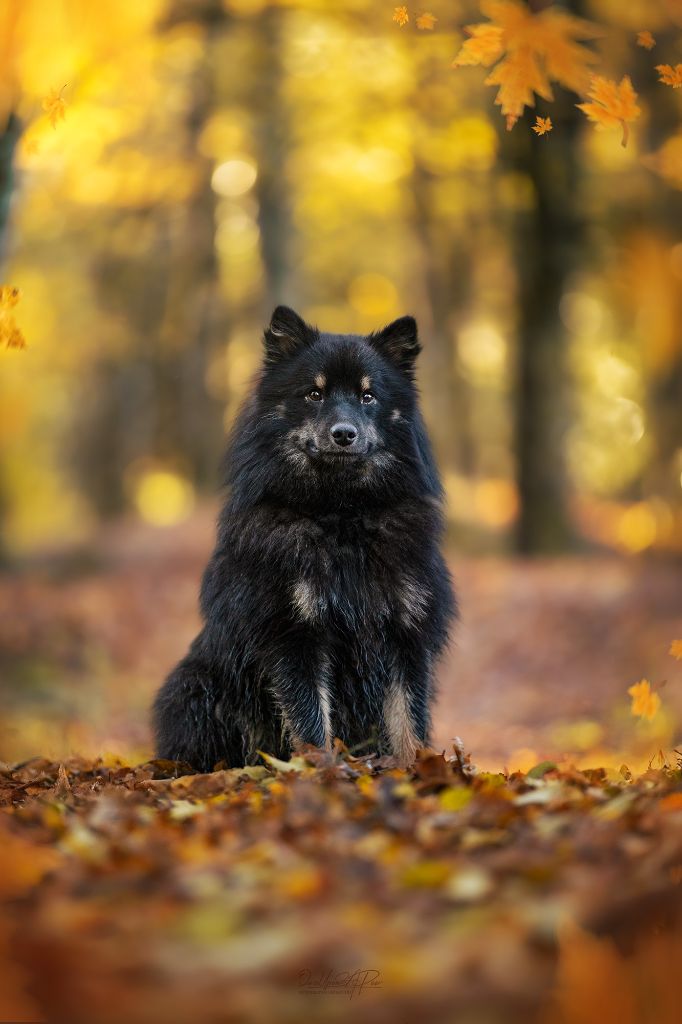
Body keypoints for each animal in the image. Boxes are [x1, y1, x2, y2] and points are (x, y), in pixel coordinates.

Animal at [151, 303, 454, 770]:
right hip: (198, 685)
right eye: (314, 394)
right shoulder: (294, 634)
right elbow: (311, 721)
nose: (344, 433)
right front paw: (318, 772)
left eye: (368, 397)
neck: (341, 514)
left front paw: (417, 773)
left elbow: (408, 723)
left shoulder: (407, 634)